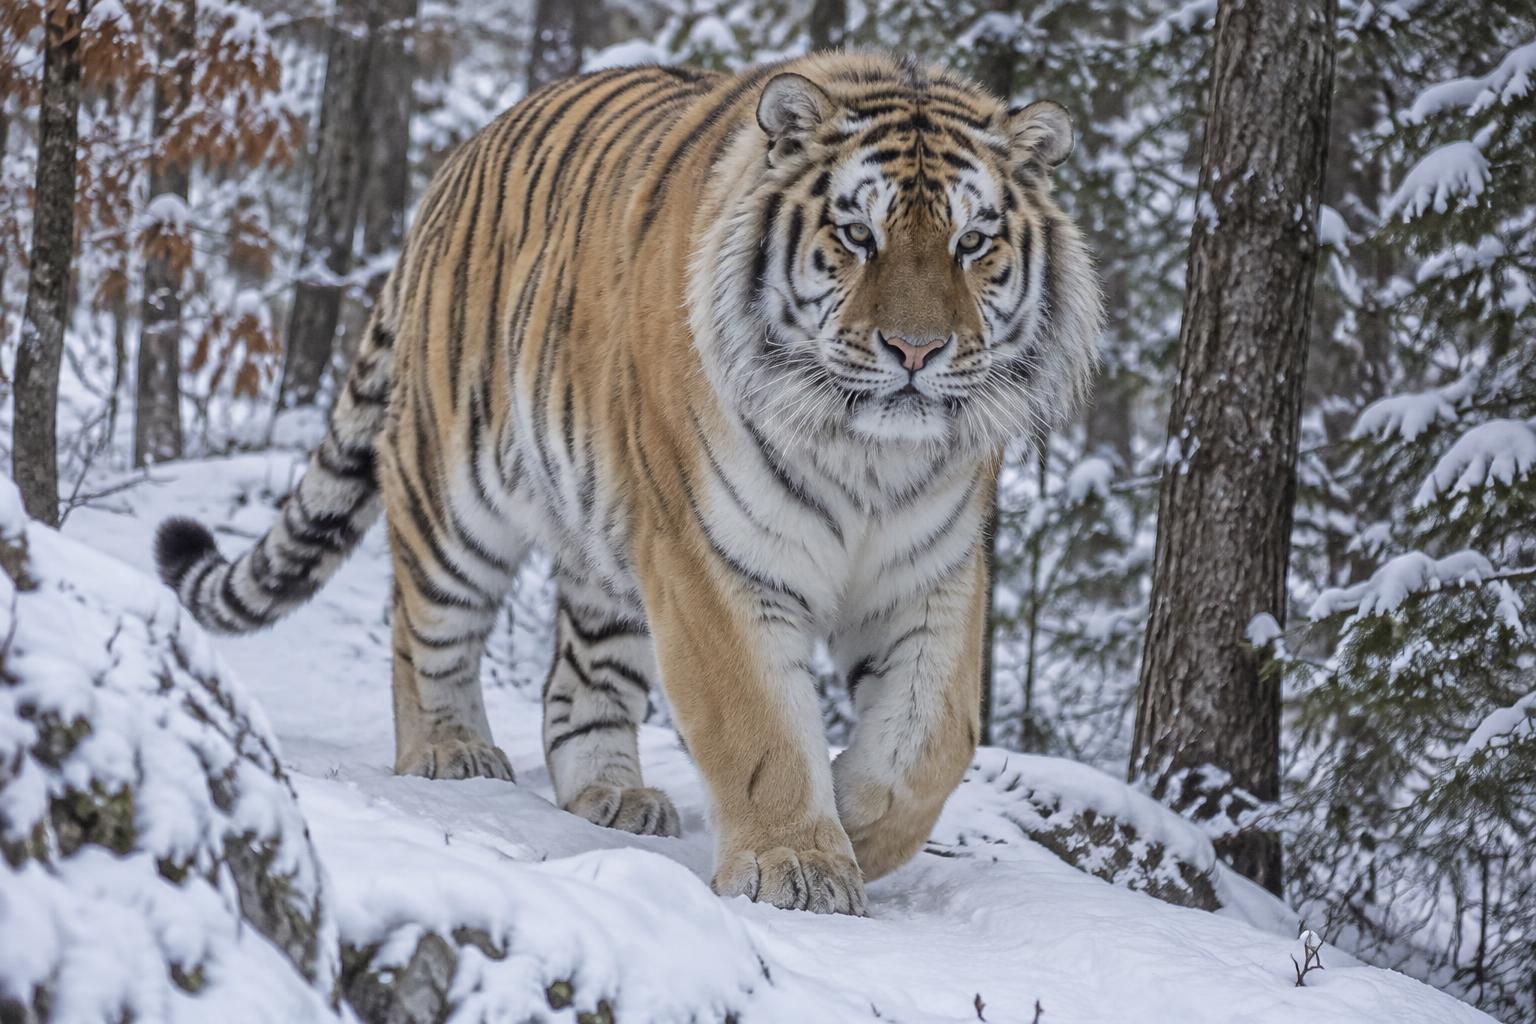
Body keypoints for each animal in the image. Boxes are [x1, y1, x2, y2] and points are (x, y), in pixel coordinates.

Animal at [155, 51, 1102, 915]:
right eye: (857, 236)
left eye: (971, 242)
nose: (916, 351)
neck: (868, 455)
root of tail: (455, 164)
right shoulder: (712, 558)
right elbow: (759, 724)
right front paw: (796, 862)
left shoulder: (933, 573)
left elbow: (931, 743)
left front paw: (856, 827)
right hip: (454, 492)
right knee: (424, 628)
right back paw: (449, 752)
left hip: (606, 540)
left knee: (577, 678)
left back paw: (610, 791)